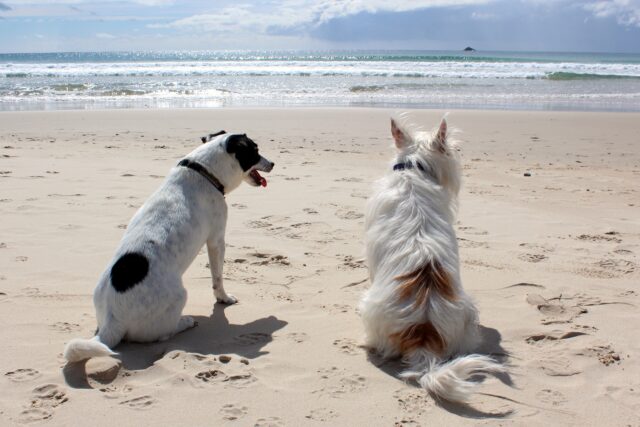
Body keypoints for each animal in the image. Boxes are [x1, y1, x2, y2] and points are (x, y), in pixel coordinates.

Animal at [64, 132, 272, 362]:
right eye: (255, 150)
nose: (272, 164)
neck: (204, 171)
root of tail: (112, 320)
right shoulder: (216, 240)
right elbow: (218, 278)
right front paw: (224, 299)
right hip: (179, 296)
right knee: (163, 334)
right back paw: (185, 322)